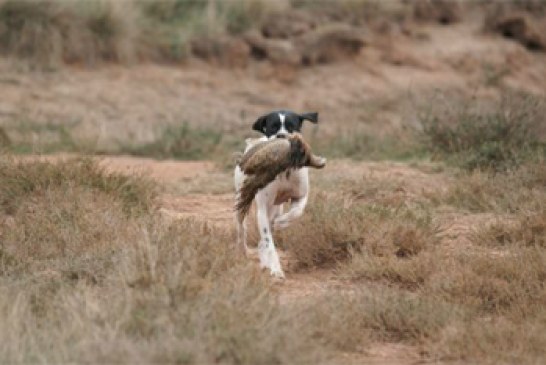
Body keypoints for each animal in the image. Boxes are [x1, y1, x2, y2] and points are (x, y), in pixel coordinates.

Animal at [234, 109, 318, 278]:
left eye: (291, 126)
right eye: (273, 127)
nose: (281, 135)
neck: (284, 170)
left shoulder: (300, 196)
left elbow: (296, 212)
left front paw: (282, 222)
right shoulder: (262, 209)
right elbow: (268, 242)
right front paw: (276, 269)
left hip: (275, 208)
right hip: (242, 201)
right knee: (242, 229)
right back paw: (243, 250)